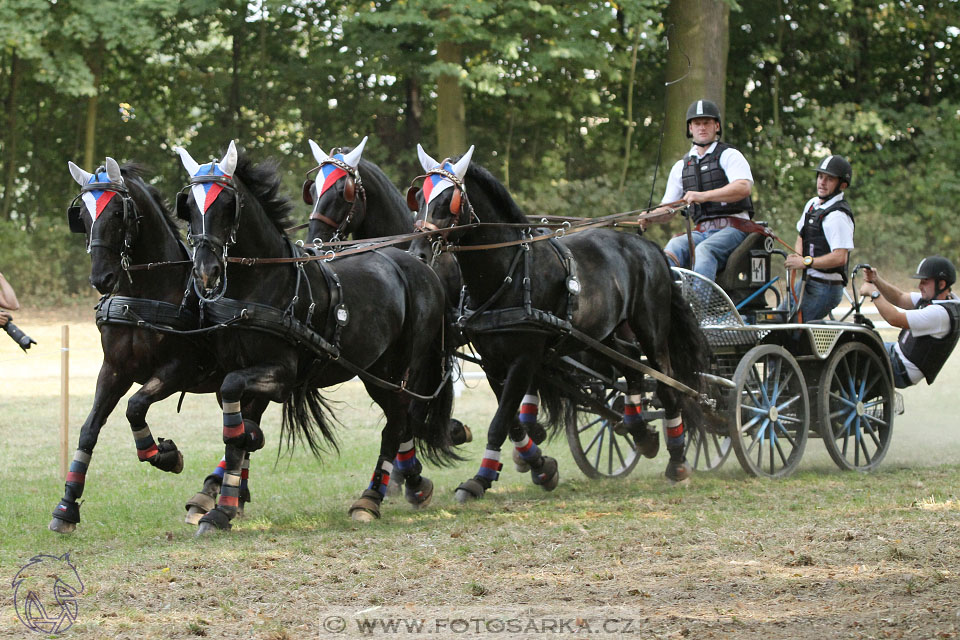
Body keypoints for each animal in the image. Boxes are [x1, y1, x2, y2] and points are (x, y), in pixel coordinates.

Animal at [52, 158, 266, 532]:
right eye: (83, 216)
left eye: (118, 213)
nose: (101, 278)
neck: (145, 295)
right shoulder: (114, 370)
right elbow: (89, 429)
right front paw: (66, 506)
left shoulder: (177, 371)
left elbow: (135, 406)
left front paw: (165, 455)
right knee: (242, 431)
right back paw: (233, 496)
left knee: (245, 431)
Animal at [175, 142, 454, 532]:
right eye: (188, 204)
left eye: (227, 204)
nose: (205, 270)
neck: (260, 285)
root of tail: (419, 264)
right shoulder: (244, 370)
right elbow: (238, 428)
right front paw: (225, 503)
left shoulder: (281, 372)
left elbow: (233, 413)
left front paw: (225, 499)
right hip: (374, 370)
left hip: (396, 371)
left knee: (397, 423)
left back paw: (371, 499)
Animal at [408, 145, 708, 500]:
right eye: (419, 197)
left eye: (449, 201)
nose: (417, 252)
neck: (510, 270)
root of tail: (646, 245)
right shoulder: (492, 362)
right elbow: (511, 423)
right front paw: (536, 468)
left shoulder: (524, 359)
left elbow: (499, 422)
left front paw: (481, 478)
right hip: (599, 334)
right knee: (632, 361)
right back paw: (639, 429)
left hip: (650, 327)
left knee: (665, 380)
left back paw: (676, 460)